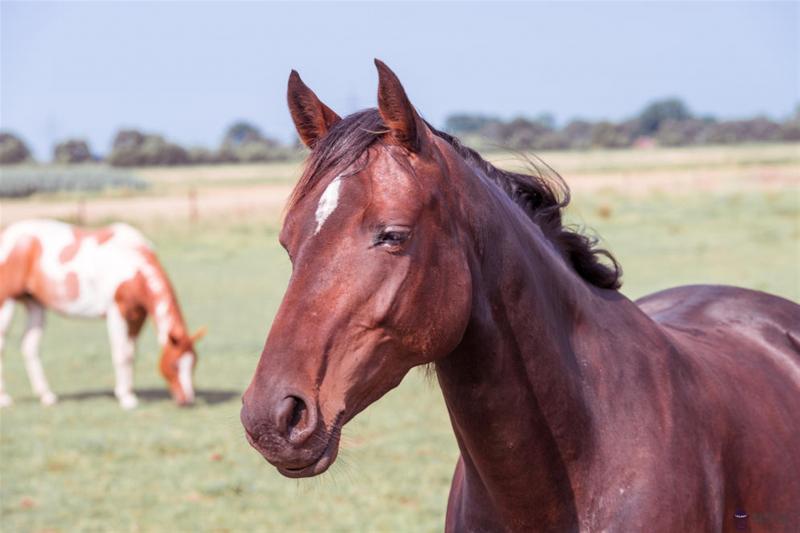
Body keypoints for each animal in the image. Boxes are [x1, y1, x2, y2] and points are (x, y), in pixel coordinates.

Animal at [0, 219, 205, 408]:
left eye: (194, 363)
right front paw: (125, 397)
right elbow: (120, 353)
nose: (187, 400)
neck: (132, 261)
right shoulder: (116, 312)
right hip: (6, 301)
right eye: (174, 365)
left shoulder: (137, 316)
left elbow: (130, 354)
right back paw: (5, 398)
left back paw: (47, 396)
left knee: (29, 346)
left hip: (35, 303)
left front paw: (130, 392)